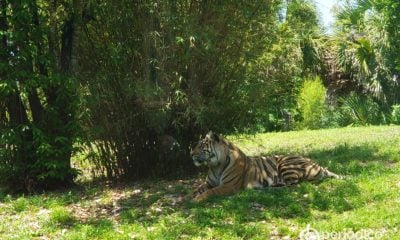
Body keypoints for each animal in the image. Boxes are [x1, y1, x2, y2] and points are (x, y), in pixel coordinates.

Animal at [190, 130, 340, 202]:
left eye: (201, 146)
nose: (191, 154)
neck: (215, 165)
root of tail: (319, 165)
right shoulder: (209, 183)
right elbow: (196, 189)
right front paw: (189, 197)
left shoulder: (229, 185)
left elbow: (211, 192)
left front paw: (197, 200)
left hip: (285, 163)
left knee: (294, 185)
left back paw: (267, 189)